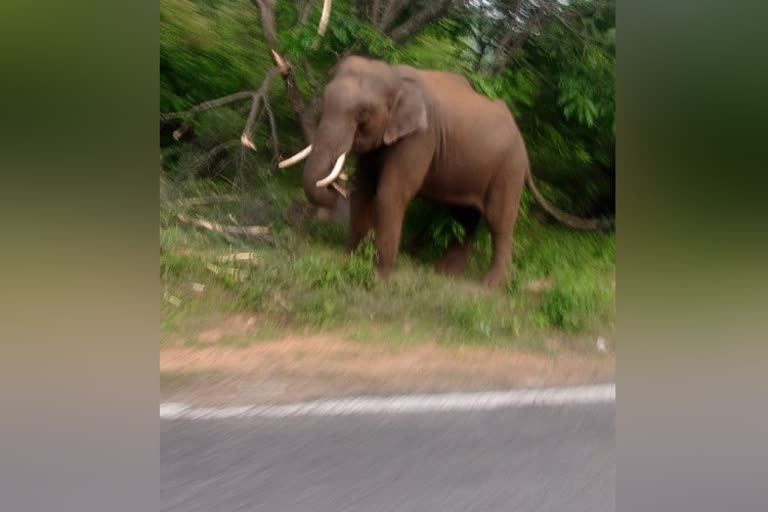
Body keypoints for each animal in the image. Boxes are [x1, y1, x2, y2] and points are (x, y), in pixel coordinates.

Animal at [280, 57, 604, 288]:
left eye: (362, 114)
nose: (333, 189)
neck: (395, 76)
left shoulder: (421, 137)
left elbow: (390, 194)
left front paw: (380, 277)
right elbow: (364, 190)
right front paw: (349, 261)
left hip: (509, 168)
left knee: (498, 222)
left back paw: (490, 287)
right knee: (466, 216)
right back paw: (446, 274)